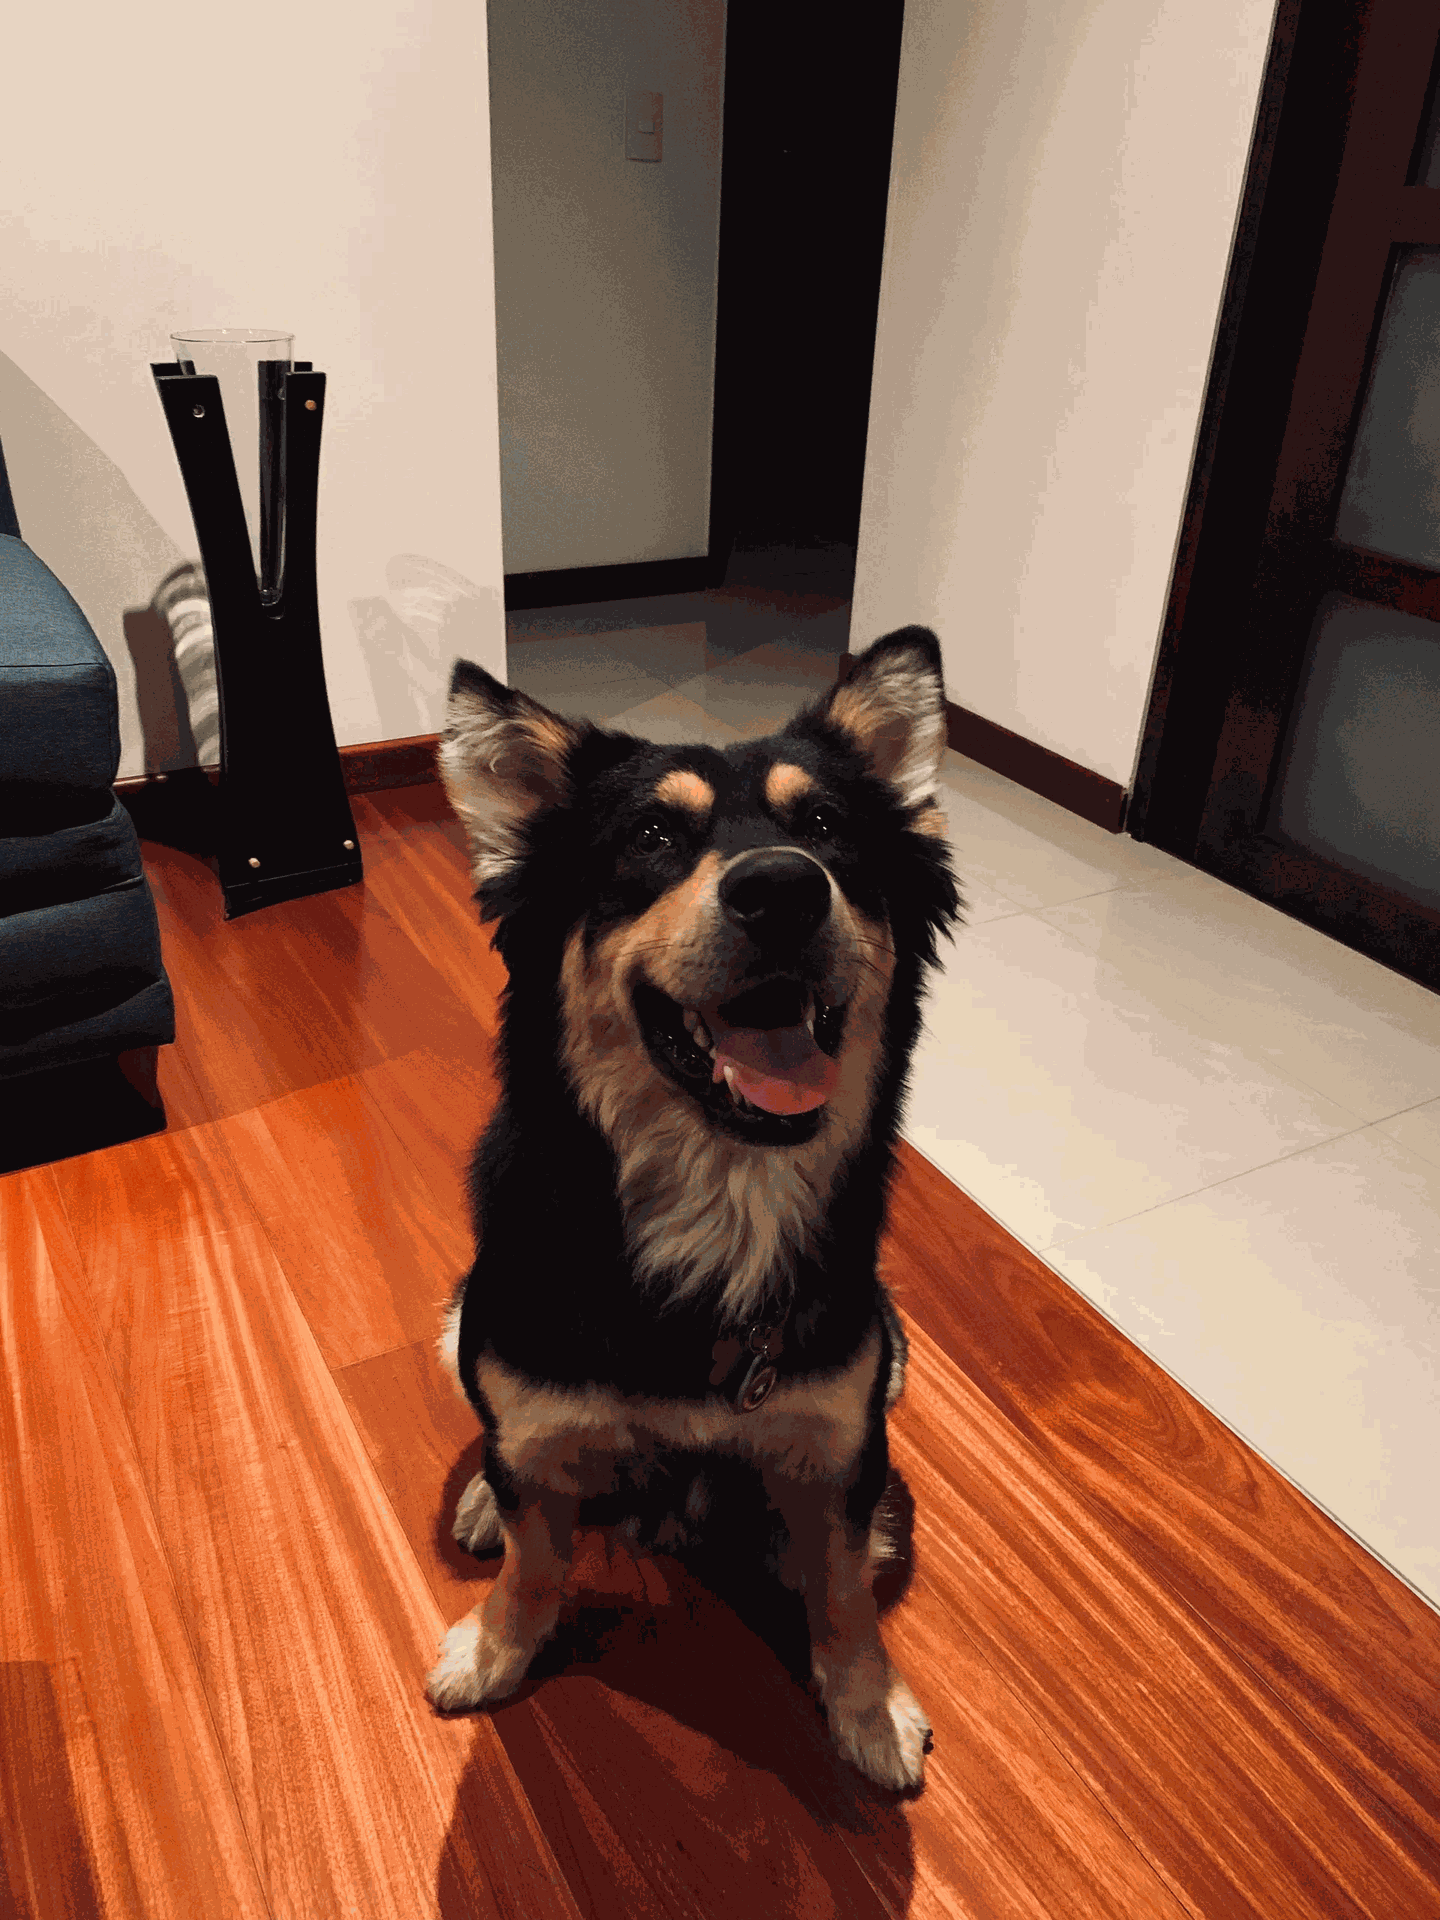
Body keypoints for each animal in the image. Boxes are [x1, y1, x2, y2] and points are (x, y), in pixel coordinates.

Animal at [426, 625, 960, 1791]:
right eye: (654, 835)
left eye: (825, 827)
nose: (783, 889)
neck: (723, 1196)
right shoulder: (534, 1405)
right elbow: (535, 1556)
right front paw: (494, 1650)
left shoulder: (842, 1444)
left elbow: (846, 1586)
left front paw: (868, 1706)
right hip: (463, 1317)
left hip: (893, 1345)